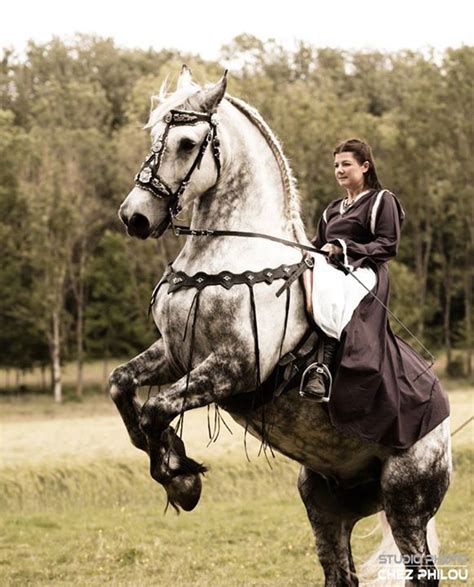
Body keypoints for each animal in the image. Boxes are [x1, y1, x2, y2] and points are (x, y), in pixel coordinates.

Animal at [110, 66, 452, 584]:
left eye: (187, 144)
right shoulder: (175, 354)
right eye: (154, 138)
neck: (230, 250)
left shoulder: (235, 367)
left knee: (421, 566)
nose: (135, 217)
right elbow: (122, 386)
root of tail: (444, 429)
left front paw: (179, 475)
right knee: (340, 571)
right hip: (325, 501)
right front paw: (169, 463)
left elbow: (156, 407)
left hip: (405, 501)